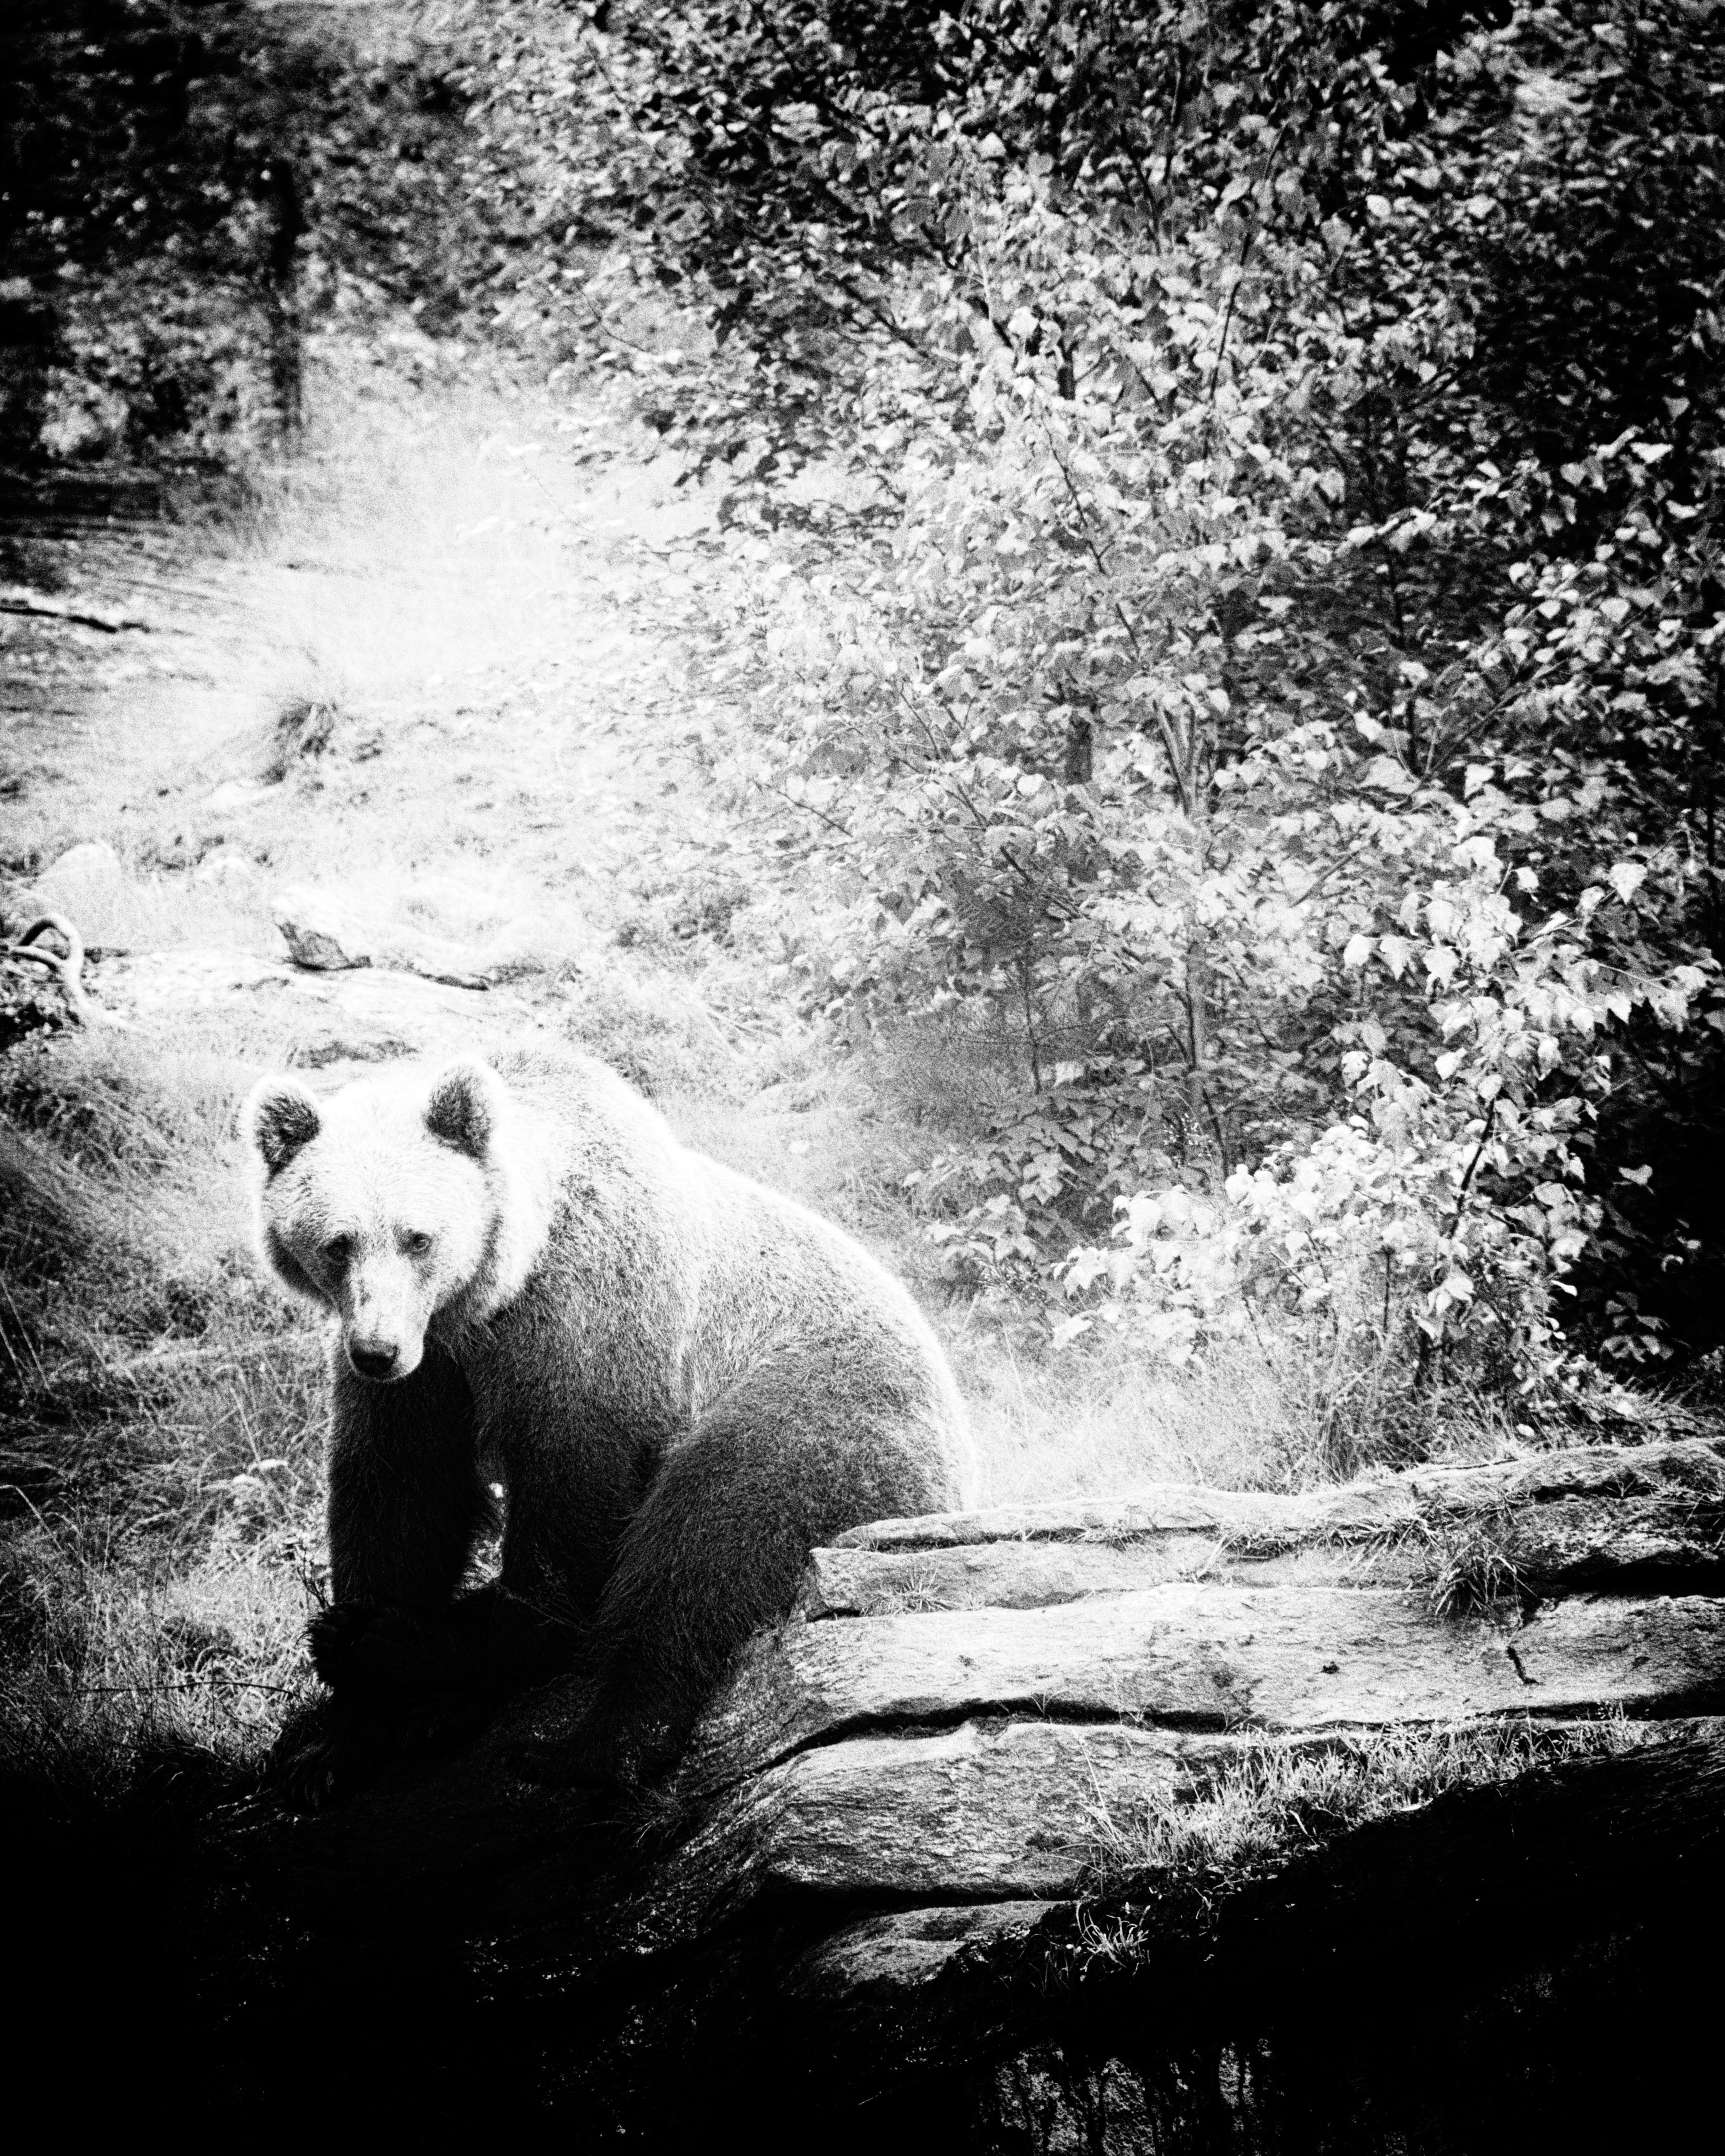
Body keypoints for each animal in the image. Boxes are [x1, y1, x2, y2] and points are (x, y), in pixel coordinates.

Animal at [243, 1046, 972, 1808]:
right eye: (338, 1243)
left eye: (418, 1237)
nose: (378, 1349)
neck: (490, 1298)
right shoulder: (429, 1375)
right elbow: (399, 1499)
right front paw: (337, 1733)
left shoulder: (588, 1321)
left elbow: (574, 1502)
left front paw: (432, 1670)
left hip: (821, 1408)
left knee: (710, 1537)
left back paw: (579, 1745)